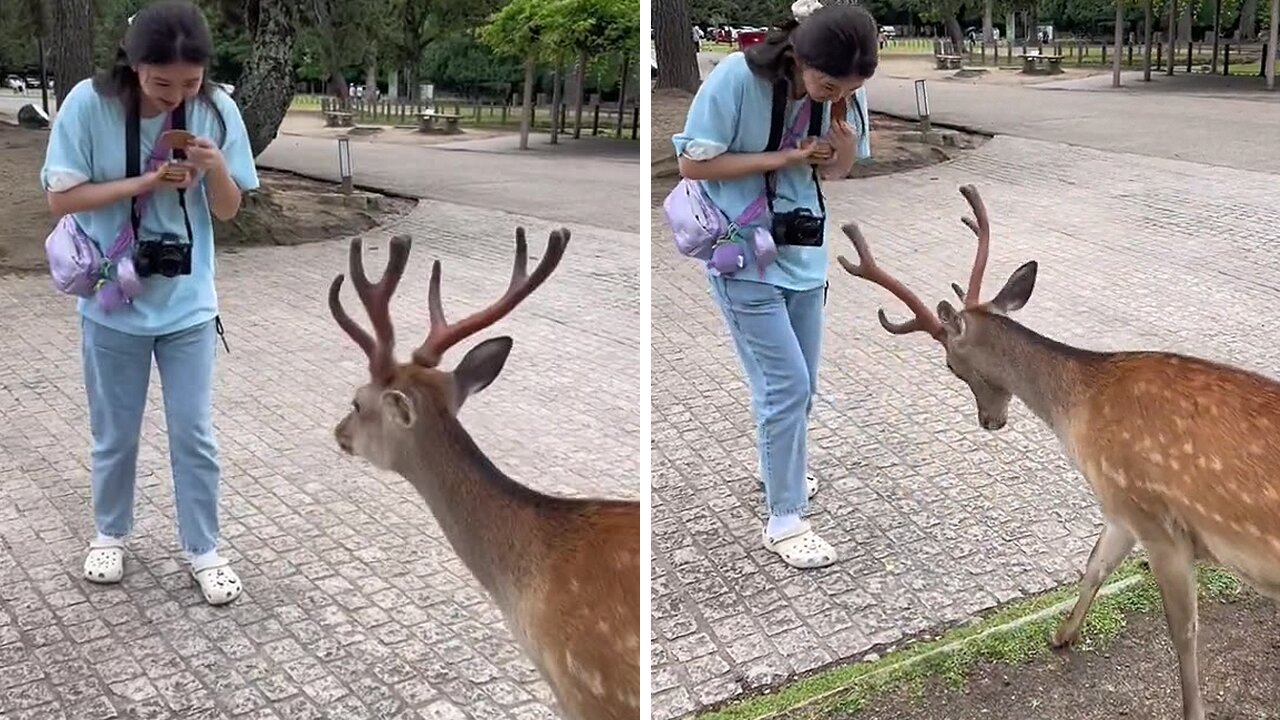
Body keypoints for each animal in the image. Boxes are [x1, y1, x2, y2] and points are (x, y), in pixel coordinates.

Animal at [834, 183, 1280, 717]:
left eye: (949, 365)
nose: (989, 421)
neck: (1080, 413)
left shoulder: (1154, 516)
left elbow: (1184, 631)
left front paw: (1192, 709)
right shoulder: (1119, 508)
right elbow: (1093, 567)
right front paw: (1061, 635)